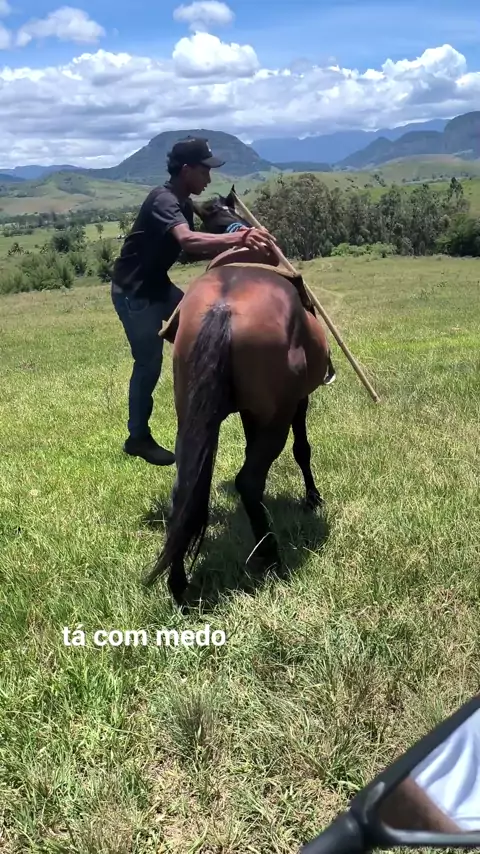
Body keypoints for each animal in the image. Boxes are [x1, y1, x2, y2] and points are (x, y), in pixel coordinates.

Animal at [143, 189, 336, 607]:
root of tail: (223, 308)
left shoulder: (249, 412)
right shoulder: (297, 402)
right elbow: (303, 449)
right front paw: (312, 498)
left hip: (190, 411)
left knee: (185, 489)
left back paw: (179, 584)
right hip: (277, 415)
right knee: (250, 480)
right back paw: (271, 555)